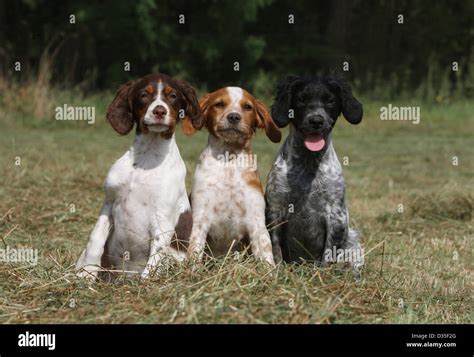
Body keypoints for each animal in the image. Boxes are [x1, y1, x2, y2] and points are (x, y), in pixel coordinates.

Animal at [76, 72, 202, 278]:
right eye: (144, 95)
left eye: (173, 96)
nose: (159, 111)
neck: (146, 159)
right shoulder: (109, 204)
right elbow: (94, 240)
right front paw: (86, 274)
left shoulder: (162, 219)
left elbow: (154, 259)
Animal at [186, 87, 282, 264]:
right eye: (219, 104)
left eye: (248, 107)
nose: (233, 117)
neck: (228, 161)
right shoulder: (200, 218)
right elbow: (194, 251)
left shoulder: (256, 221)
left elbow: (265, 254)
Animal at [266, 76, 362, 276]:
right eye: (301, 99)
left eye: (330, 100)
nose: (316, 120)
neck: (308, 165)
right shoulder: (275, 209)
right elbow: (275, 248)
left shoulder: (336, 215)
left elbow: (329, 252)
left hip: (353, 240)